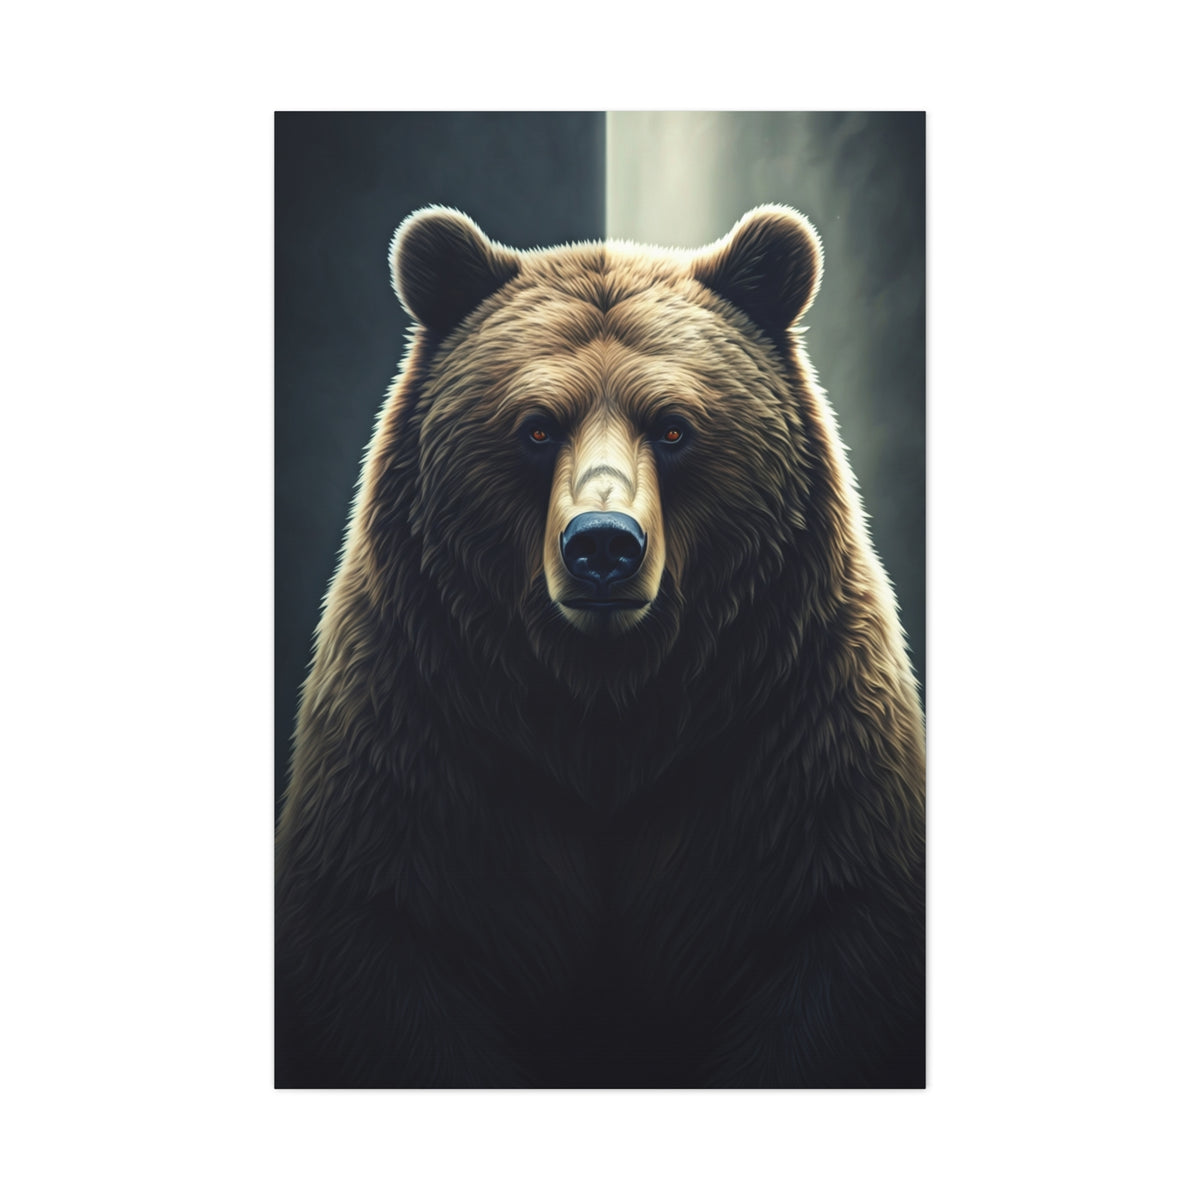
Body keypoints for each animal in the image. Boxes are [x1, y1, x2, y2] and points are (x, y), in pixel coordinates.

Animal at [275, 204, 925, 1088]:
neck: (605, 709)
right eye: (536, 426)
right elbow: (389, 935)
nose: (603, 545)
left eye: (675, 427)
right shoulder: (423, 733)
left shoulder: (791, 737)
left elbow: (833, 934)